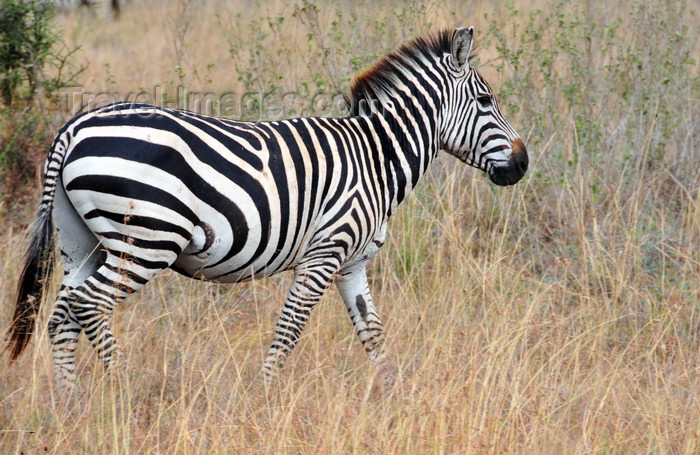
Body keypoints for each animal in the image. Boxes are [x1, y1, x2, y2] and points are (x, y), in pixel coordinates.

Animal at [8, 27, 528, 392]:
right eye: (486, 100)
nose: (523, 164)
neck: (375, 158)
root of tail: (76, 125)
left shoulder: (353, 264)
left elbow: (373, 336)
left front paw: (394, 397)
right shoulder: (325, 253)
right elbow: (291, 327)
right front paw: (264, 396)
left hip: (84, 242)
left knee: (62, 315)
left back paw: (71, 405)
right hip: (148, 240)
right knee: (88, 304)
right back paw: (123, 390)